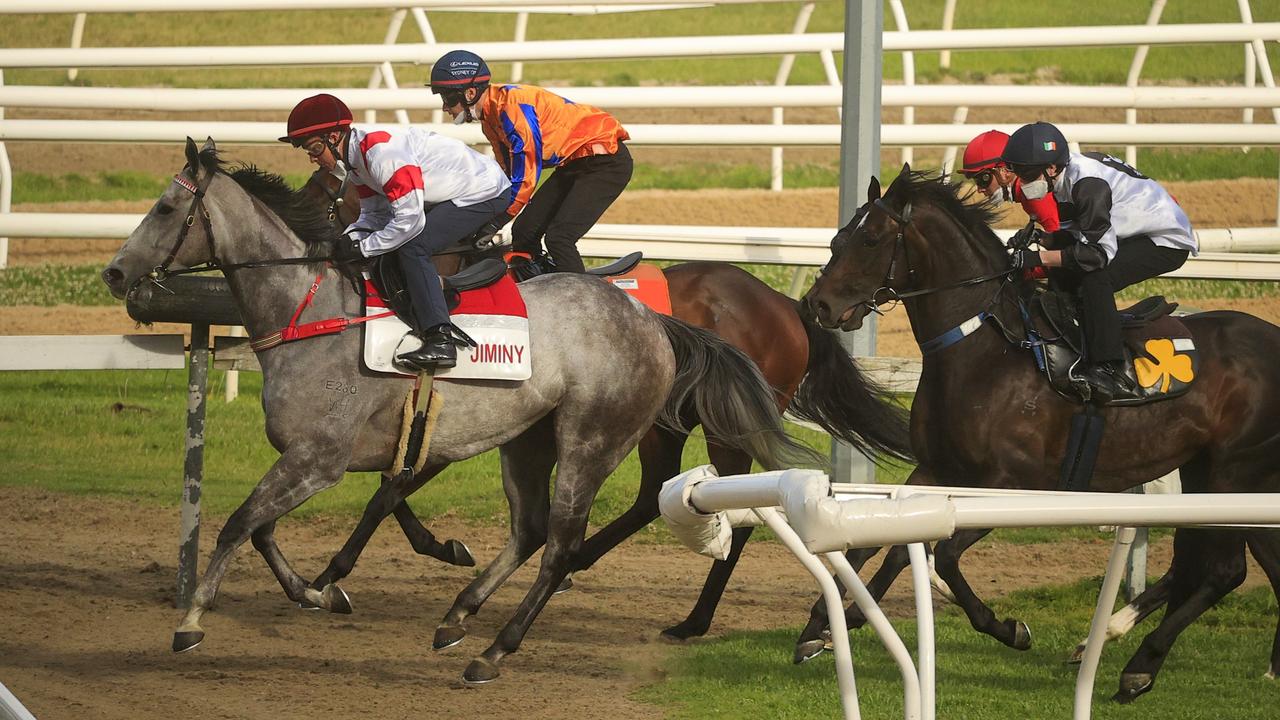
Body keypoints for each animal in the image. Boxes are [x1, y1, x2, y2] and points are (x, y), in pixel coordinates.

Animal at [102, 140, 819, 681]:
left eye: (166, 207)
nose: (113, 273)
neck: (315, 314)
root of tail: (653, 322)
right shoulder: (318, 458)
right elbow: (267, 528)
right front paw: (316, 589)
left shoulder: (321, 460)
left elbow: (241, 524)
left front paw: (193, 620)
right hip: (529, 440)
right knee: (531, 529)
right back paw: (457, 617)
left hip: (594, 440)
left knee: (564, 543)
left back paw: (497, 649)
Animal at [303, 170, 916, 635]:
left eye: (322, 195)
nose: (330, 254)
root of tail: (790, 308)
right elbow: (392, 483)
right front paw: (438, 547)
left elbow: (388, 491)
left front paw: (328, 577)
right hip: (666, 423)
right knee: (652, 497)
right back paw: (580, 564)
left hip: (723, 427)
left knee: (738, 508)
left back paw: (691, 619)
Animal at [798, 165, 1280, 696]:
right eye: (841, 235)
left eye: (871, 240)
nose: (818, 304)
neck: (983, 352)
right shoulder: (938, 470)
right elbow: (883, 546)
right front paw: (822, 626)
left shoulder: (1011, 482)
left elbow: (944, 556)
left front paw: (1008, 628)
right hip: (1211, 473)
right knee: (1222, 563)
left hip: (1234, 469)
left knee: (1224, 570)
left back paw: (1140, 664)